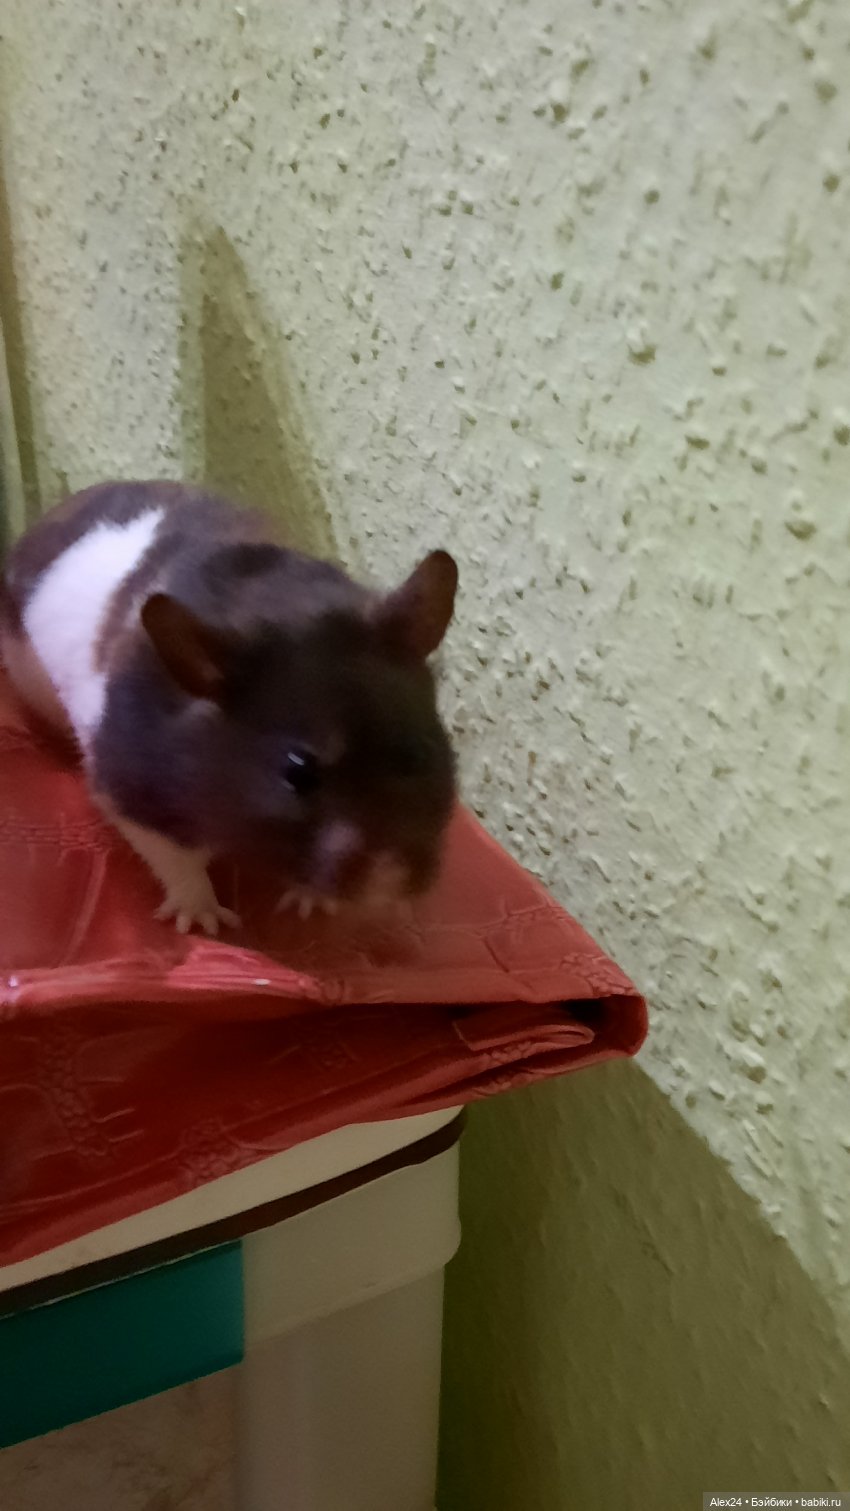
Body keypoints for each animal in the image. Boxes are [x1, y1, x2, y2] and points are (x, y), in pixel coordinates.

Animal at [0, 481, 459, 935]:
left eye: (419, 755)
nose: (389, 883)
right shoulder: (130, 793)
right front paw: (205, 922)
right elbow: (177, 862)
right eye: (298, 772)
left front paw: (309, 904)